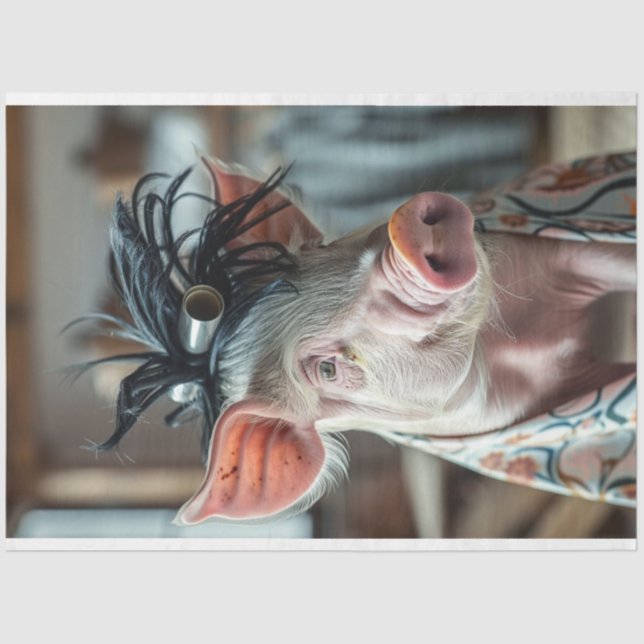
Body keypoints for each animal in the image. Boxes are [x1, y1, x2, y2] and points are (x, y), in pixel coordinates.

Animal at [90, 152, 637, 524]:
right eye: (327, 369)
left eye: (317, 252)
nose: (398, 240)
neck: (514, 343)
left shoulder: (553, 255)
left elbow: (612, 261)